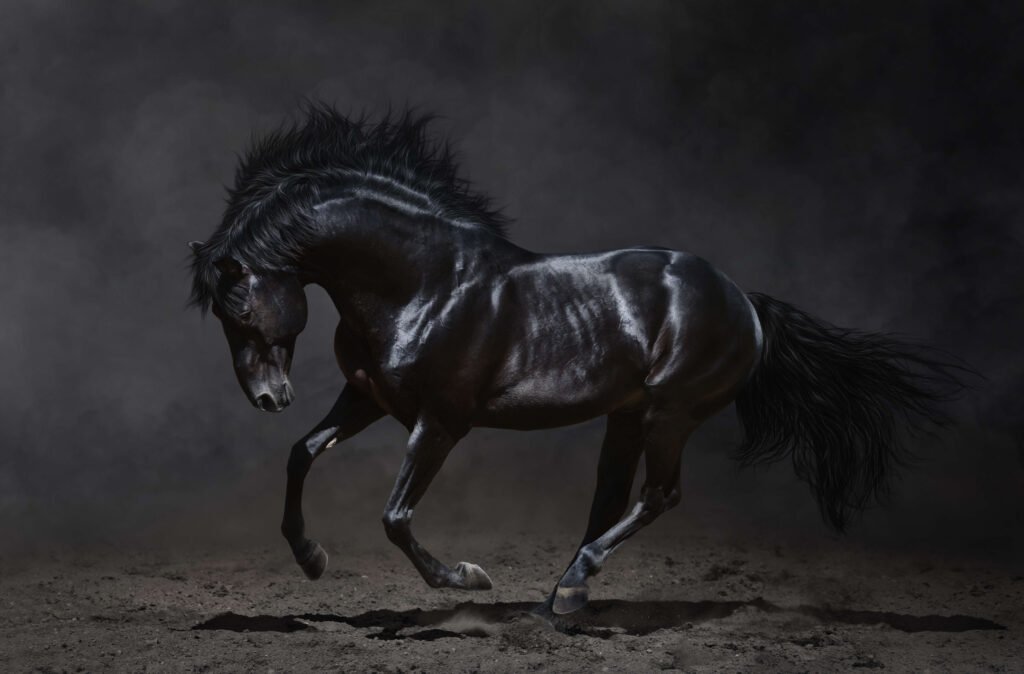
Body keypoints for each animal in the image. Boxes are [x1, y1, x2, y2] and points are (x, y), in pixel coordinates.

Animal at [188, 103, 965, 615]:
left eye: (240, 308)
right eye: (222, 317)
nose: (267, 398)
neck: (424, 283)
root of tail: (744, 300)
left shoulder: (440, 422)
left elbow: (396, 516)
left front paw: (467, 579)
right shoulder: (369, 398)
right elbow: (302, 453)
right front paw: (311, 558)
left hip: (670, 413)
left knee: (658, 495)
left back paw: (569, 588)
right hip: (628, 416)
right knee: (611, 499)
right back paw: (561, 597)